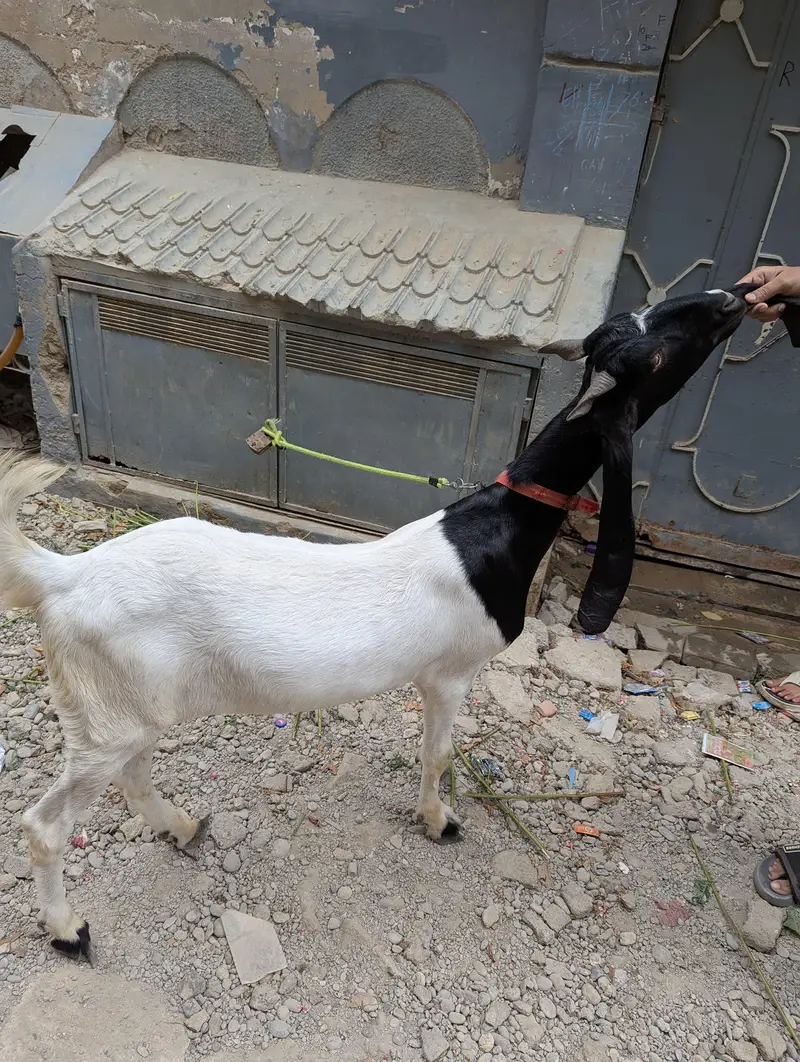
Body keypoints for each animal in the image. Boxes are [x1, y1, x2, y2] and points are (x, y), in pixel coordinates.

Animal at [0, 285, 751, 959]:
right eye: (658, 356)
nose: (730, 300)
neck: (496, 527)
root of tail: (64, 576)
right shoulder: (452, 672)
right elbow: (439, 752)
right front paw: (440, 821)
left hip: (131, 705)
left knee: (133, 776)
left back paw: (182, 827)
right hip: (106, 712)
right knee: (47, 823)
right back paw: (68, 930)